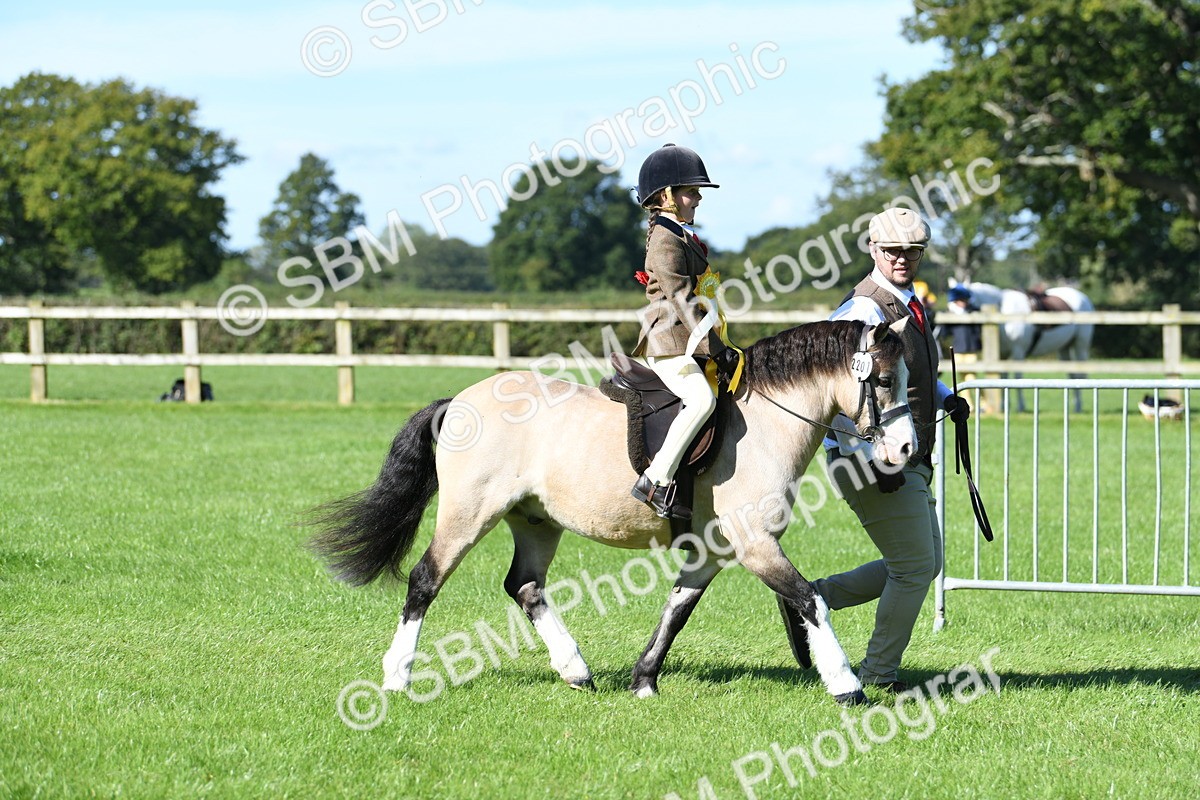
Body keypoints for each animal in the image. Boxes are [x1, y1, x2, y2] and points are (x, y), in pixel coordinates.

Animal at [307, 319, 917, 706]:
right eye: (886, 380)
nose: (907, 450)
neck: (765, 420)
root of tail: (458, 401)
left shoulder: (713, 550)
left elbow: (677, 610)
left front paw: (644, 680)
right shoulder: (754, 544)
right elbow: (810, 598)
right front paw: (846, 685)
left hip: (535, 521)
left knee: (524, 585)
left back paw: (576, 671)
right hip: (468, 514)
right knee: (425, 580)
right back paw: (397, 677)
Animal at [950, 281, 1095, 412]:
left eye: (963, 303)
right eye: (951, 305)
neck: (1003, 312)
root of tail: (1083, 297)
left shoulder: (1018, 352)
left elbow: (1017, 376)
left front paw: (1020, 406)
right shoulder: (1002, 354)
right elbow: (1003, 377)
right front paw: (1003, 406)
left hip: (1080, 345)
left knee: (1080, 374)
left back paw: (1078, 407)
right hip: (1064, 348)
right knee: (1072, 374)